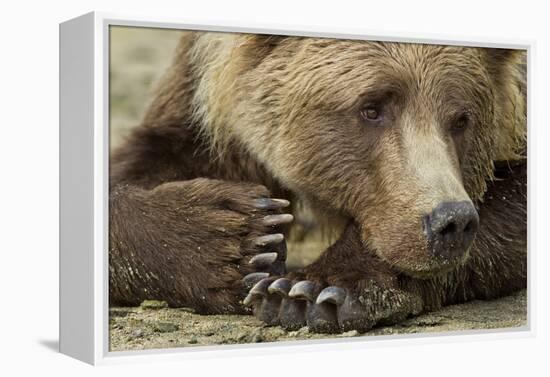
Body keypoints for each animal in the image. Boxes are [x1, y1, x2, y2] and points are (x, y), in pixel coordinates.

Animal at [110, 31, 528, 332]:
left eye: (461, 119)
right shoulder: (198, 96)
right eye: (371, 108)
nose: (451, 222)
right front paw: (236, 238)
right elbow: (146, 160)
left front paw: (312, 291)